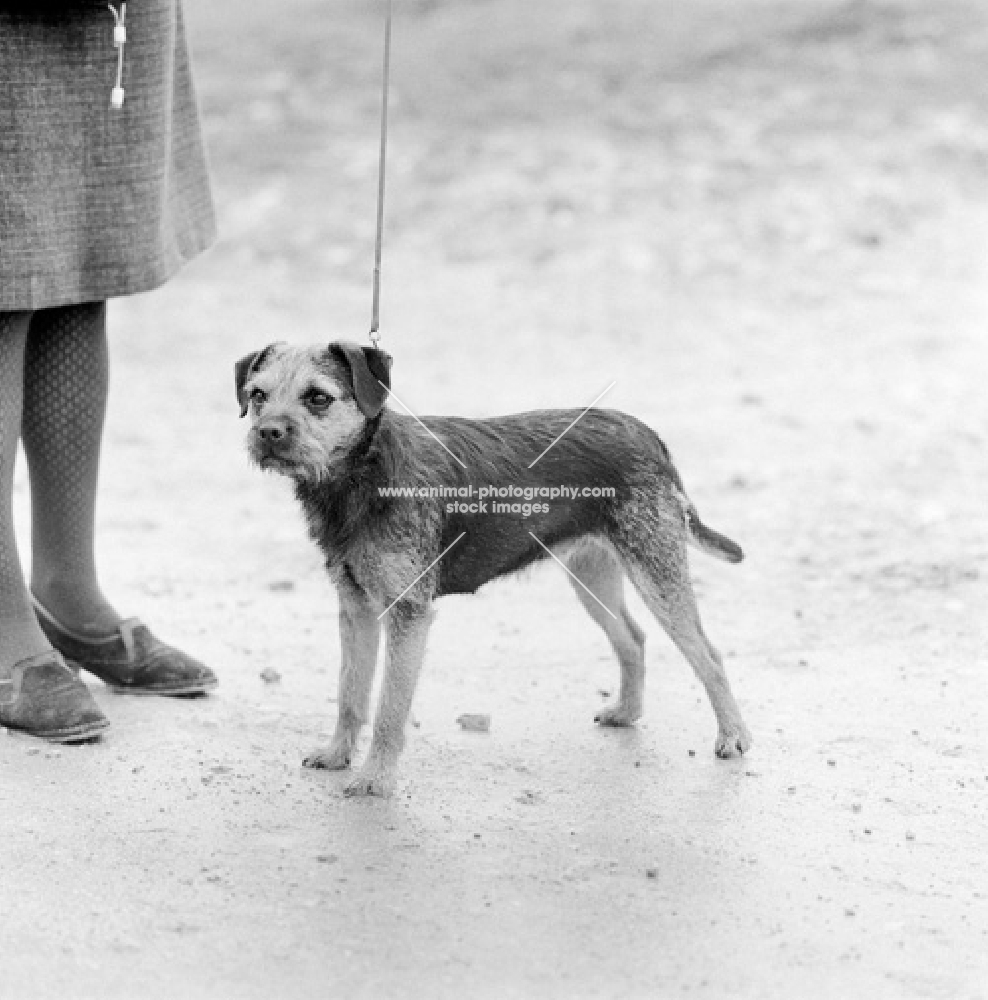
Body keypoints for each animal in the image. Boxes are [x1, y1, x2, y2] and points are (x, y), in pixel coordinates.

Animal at [237, 344, 748, 796]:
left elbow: (389, 709)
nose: (268, 433)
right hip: (591, 574)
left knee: (708, 654)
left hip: (656, 571)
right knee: (633, 638)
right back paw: (627, 712)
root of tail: (646, 434)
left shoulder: (408, 613)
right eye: (258, 394)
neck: (365, 473)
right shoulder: (355, 608)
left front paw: (376, 780)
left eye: (318, 397)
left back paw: (733, 736)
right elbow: (350, 691)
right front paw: (337, 754)